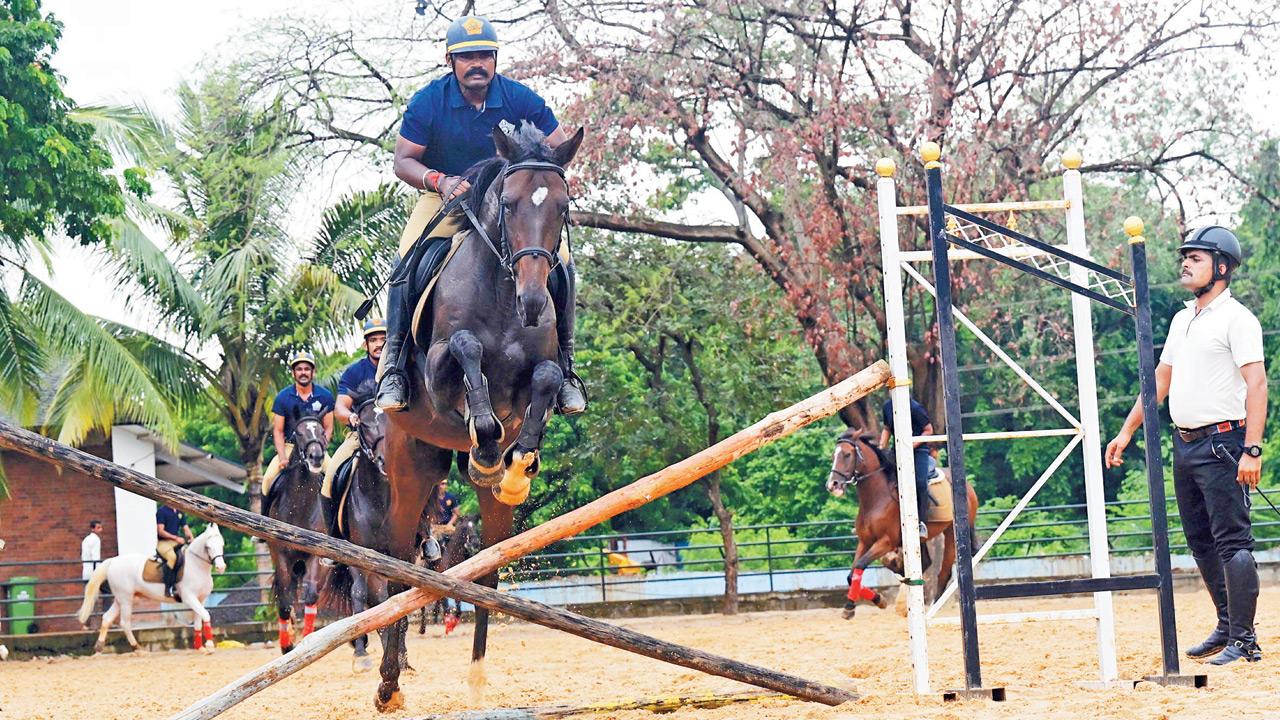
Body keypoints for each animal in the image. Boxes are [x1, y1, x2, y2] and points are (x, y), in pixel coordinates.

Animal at [78, 524, 227, 653]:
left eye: (222, 544)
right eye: (208, 546)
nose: (221, 567)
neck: (196, 565)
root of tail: (113, 561)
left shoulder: (201, 599)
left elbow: (198, 622)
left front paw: (200, 648)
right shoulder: (189, 597)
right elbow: (206, 615)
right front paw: (209, 646)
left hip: (121, 599)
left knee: (107, 618)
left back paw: (100, 647)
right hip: (126, 599)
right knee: (125, 623)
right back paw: (138, 649)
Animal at [264, 414, 330, 653]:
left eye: (322, 432)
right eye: (299, 433)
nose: (316, 457)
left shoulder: (317, 555)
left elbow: (310, 596)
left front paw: (306, 640)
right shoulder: (281, 554)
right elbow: (284, 602)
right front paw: (287, 645)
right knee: (287, 593)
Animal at [378, 123, 585, 711]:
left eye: (562, 207)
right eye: (509, 204)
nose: (534, 301)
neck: (501, 293)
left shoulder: (539, 371)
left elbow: (546, 378)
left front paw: (514, 467)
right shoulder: (439, 367)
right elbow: (467, 350)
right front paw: (489, 446)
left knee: (484, 575)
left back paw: (474, 679)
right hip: (409, 466)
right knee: (397, 572)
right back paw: (388, 686)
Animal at [825, 428, 978, 619]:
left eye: (846, 455)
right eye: (834, 455)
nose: (832, 484)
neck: (876, 498)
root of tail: (967, 486)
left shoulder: (885, 541)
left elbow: (860, 565)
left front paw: (853, 605)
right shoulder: (865, 541)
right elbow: (851, 574)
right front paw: (873, 600)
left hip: (952, 533)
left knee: (943, 573)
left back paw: (932, 608)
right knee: (926, 563)